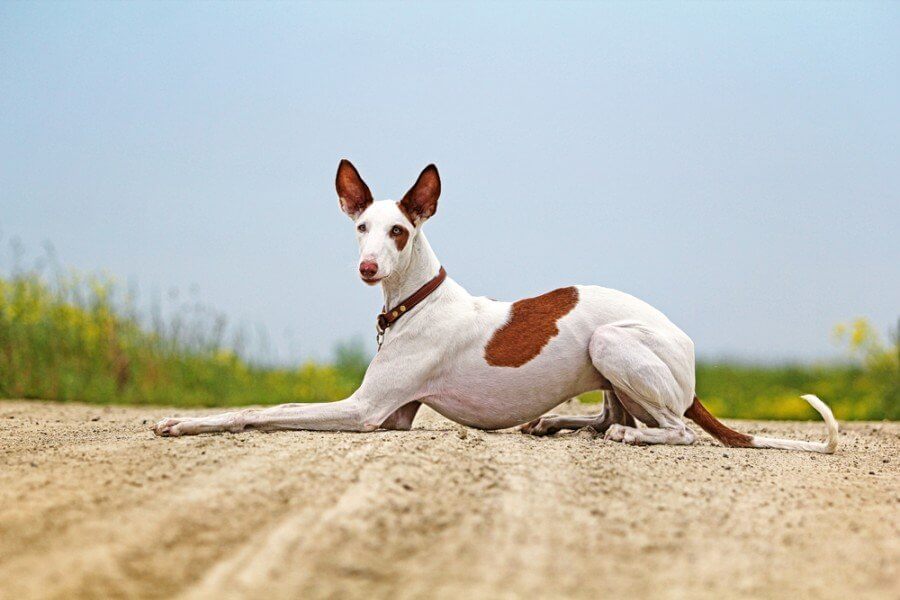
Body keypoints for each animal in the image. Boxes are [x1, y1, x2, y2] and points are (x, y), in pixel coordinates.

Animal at [153, 162, 836, 452]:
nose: (367, 268)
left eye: (400, 231)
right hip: (609, 370)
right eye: (361, 227)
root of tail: (688, 354)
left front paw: (181, 423)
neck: (416, 301)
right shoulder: (395, 416)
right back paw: (558, 423)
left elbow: (260, 410)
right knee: (608, 417)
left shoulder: (367, 412)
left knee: (672, 430)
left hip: (613, 343)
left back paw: (627, 434)